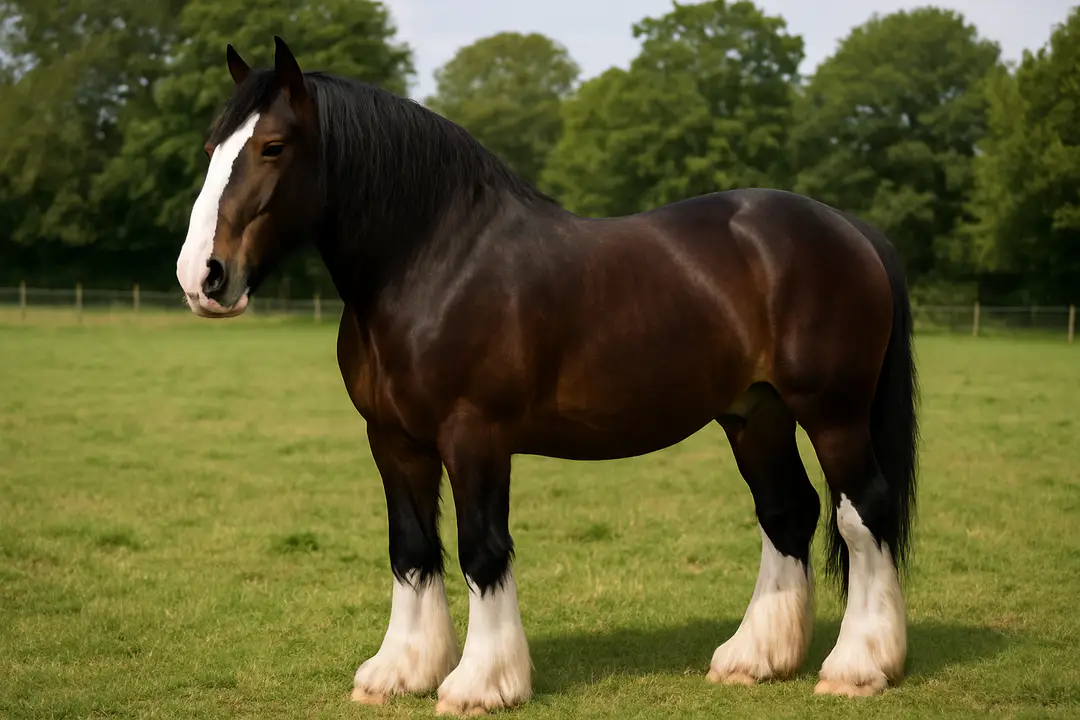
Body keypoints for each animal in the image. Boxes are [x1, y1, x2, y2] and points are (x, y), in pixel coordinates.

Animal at [176, 36, 919, 715]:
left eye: (273, 147)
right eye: (213, 148)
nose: (202, 276)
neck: (433, 260)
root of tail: (849, 227)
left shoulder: (474, 436)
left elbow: (482, 549)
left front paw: (481, 683)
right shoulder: (392, 440)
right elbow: (411, 546)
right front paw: (400, 672)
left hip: (833, 413)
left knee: (864, 512)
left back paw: (859, 666)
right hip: (755, 413)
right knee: (786, 512)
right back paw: (755, 658)